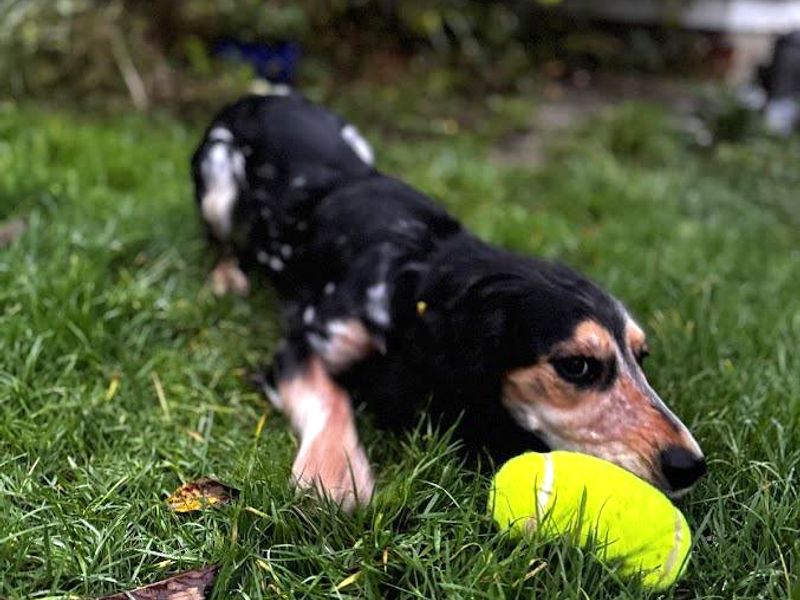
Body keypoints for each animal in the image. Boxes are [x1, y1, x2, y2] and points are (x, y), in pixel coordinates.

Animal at [192, 92, 708, 510]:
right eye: (576, 366)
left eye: (642, 356)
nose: (689, 465)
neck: (414, 267)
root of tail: (260, 95)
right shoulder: (303, 342)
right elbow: (329, 396)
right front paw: (333, 475)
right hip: (218, 179)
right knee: (218, 239)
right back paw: (226, 275)